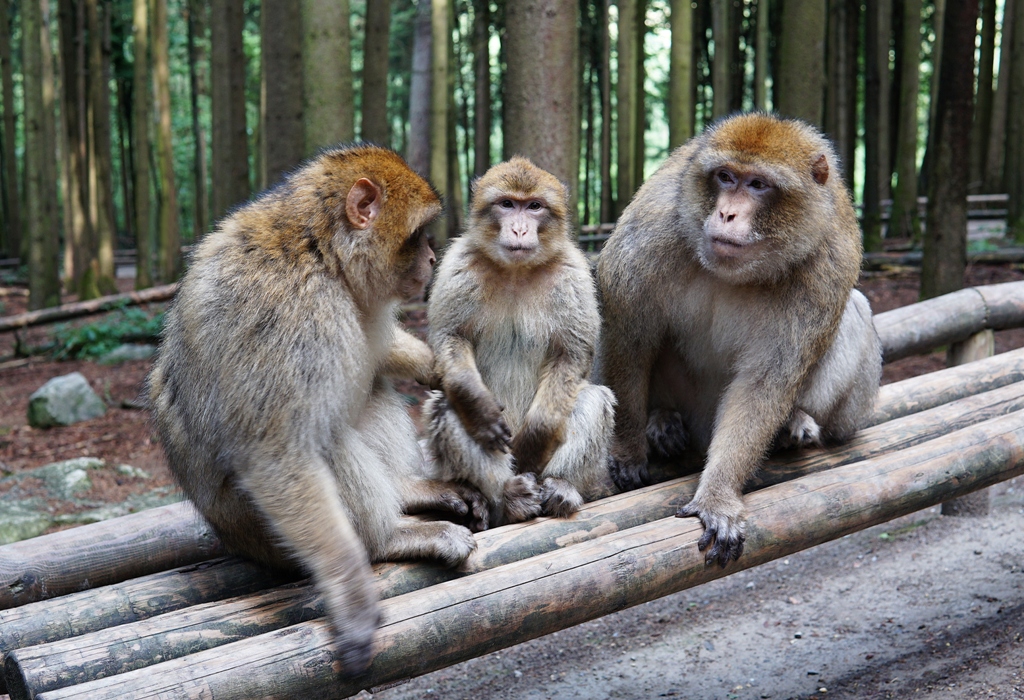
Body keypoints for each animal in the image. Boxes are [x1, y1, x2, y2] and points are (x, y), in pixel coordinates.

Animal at [148, 145, 487, 675]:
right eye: (417, 236)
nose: (433, 258)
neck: (321, 252)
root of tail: (229, 537)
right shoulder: (291, 311)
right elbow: (277, 453)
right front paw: (351, 592)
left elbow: (378, 353)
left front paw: (449, 377)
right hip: (260, 534)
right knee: (321, 434)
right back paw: (389, 538)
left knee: (371, 388)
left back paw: (407, 490)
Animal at [423, 158, 614, 528]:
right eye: (508, 204)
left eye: (534, 206)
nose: (520, 230)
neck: (516, 271)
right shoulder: (458, 264)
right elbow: (450, 337)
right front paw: (479, 408)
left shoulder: (573, 273)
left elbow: (572, 353)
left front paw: (533, 440)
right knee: (447, 406)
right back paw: (506, 498)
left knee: (593, 399)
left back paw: (559, 486)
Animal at [598, 110, 884, 569]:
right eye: (725, 177)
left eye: (758, 185)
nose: (727, 214)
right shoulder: (649, 234)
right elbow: (628, 337)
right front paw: (627, 451)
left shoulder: (826, 265)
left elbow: (764, 383)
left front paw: (718, 496)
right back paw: (661, 418)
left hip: (843, 415)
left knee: (855, 309)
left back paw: (796, 423)